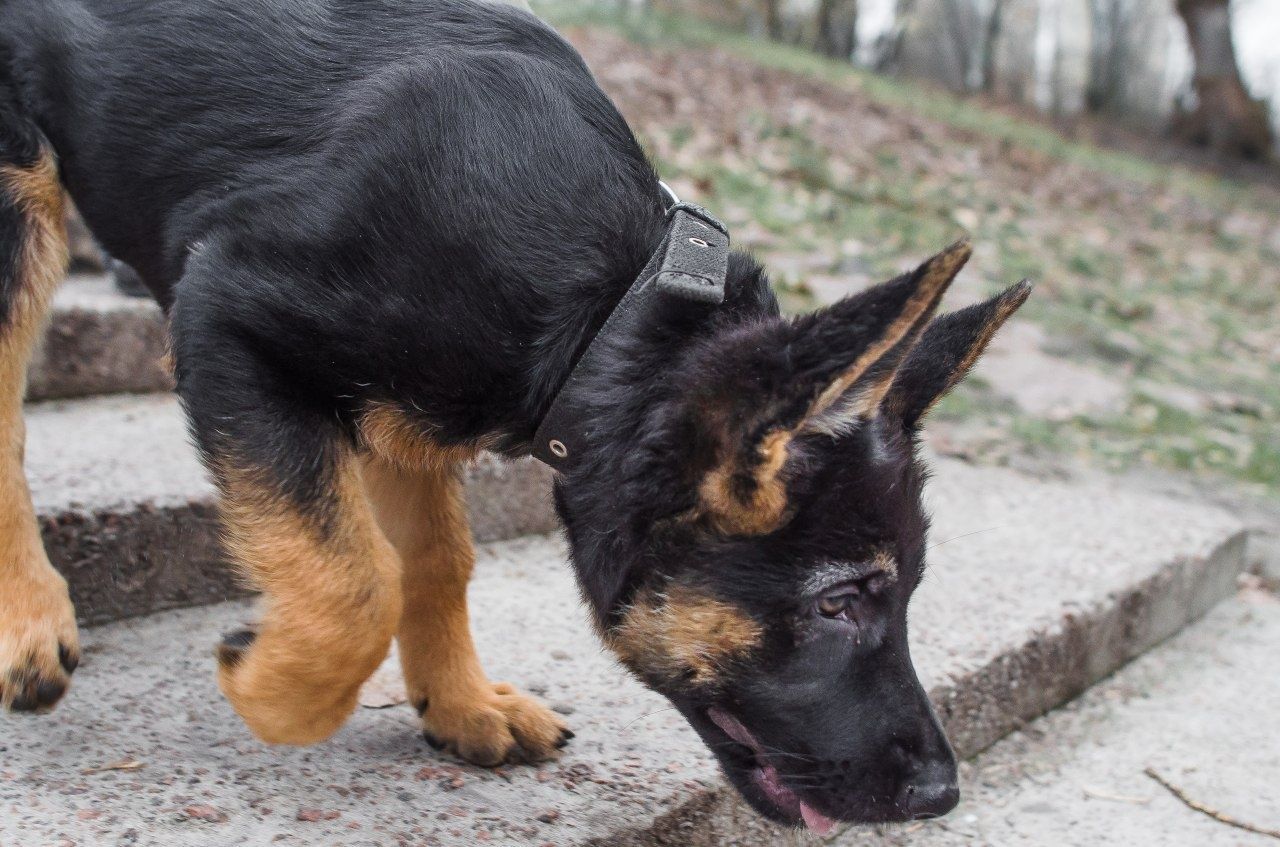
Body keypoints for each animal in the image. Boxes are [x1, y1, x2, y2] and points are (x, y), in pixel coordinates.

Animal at [0, 0, 1029, 834]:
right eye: (838, 601)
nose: (943, 794)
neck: (612, 304)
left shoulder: (407, 408)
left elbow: (431, 558)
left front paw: (458, 704)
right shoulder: (226, 312)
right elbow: (353, 581)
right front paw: (273, 689)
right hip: (18, 197)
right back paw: (30, 618)